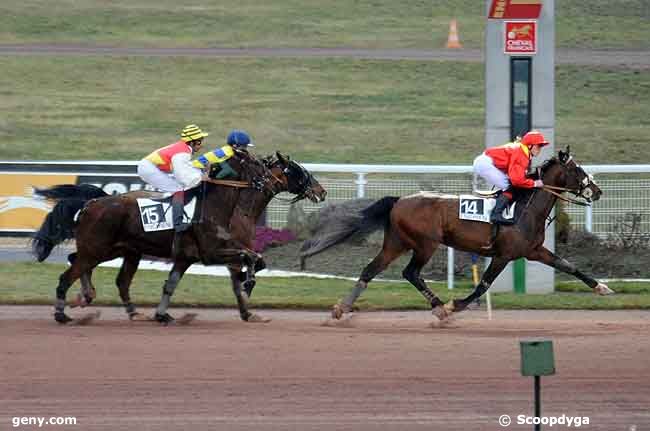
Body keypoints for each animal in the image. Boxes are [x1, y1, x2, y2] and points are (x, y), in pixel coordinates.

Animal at [31, 152, 324, 324]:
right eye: (295, 169)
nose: (321, 191)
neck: (225, 207)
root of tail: (92, 202)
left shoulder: (187, 257)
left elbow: (171, 284)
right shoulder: (213, 252)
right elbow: (251, 261)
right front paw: (248, 286)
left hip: (120, 250)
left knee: (100, 271)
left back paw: (110, 303)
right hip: (98, 248)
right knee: (69, 273)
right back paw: (63, 312)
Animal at [302, 148, 612, 320]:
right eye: (578, 169)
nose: (597, 191)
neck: (524, 207)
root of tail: (399, 200)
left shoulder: (533, 251)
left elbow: (568, 266)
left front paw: (601, 287)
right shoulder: (504, 255)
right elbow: (483, 285)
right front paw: (455, 305)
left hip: (396, 243)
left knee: (370, 270)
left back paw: (341, 308)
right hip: (425, 244)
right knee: (411, 273)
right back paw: (440, 307)